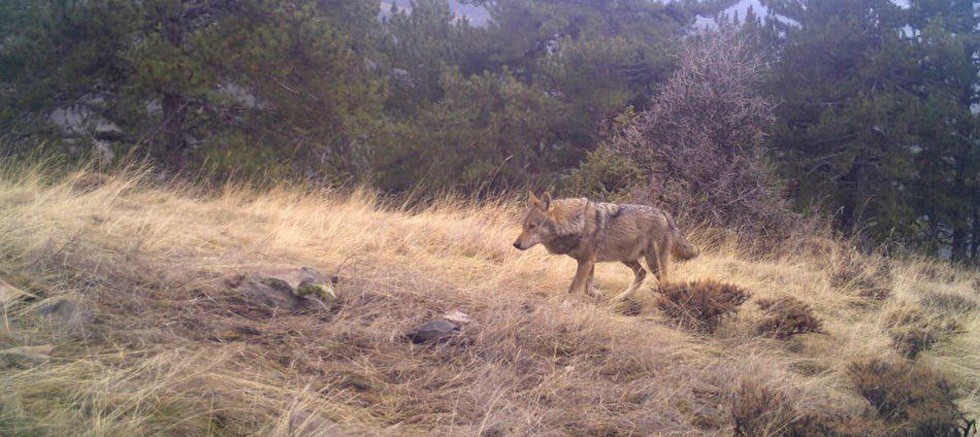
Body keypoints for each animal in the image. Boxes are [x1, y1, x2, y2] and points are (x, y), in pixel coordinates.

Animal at [512, 192, 696, 300]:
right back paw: (621, 298)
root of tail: (664, 213)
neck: (576, 224)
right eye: (523, 226)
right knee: (642, 274)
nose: (516, 244)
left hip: (652, 262)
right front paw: (599, 295)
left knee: (664, 282)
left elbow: (574, 289)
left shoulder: (586, 261)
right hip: (627, 259)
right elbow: (587, 288)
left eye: (532, 226)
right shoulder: (588, 262)